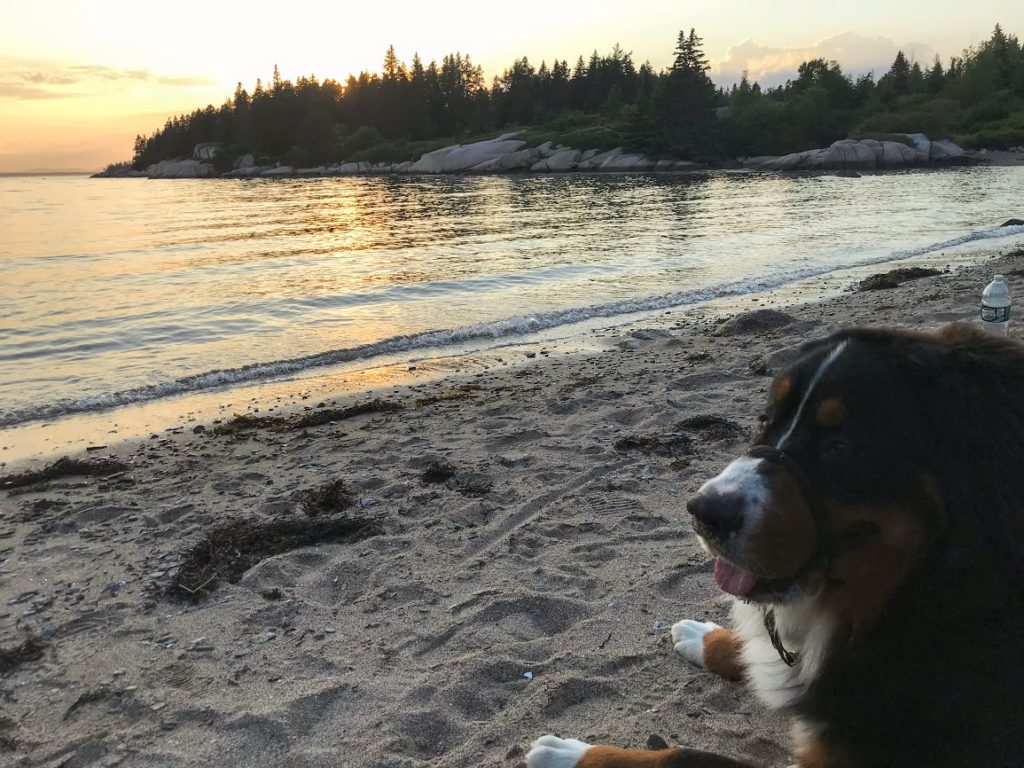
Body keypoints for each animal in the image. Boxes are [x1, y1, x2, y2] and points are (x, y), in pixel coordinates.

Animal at [528, 325, 1024, 768]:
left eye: (840, 446)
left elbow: (683, 756)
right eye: (765, 421)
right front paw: (704, 635)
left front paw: (570, 754)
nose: (703, 513)